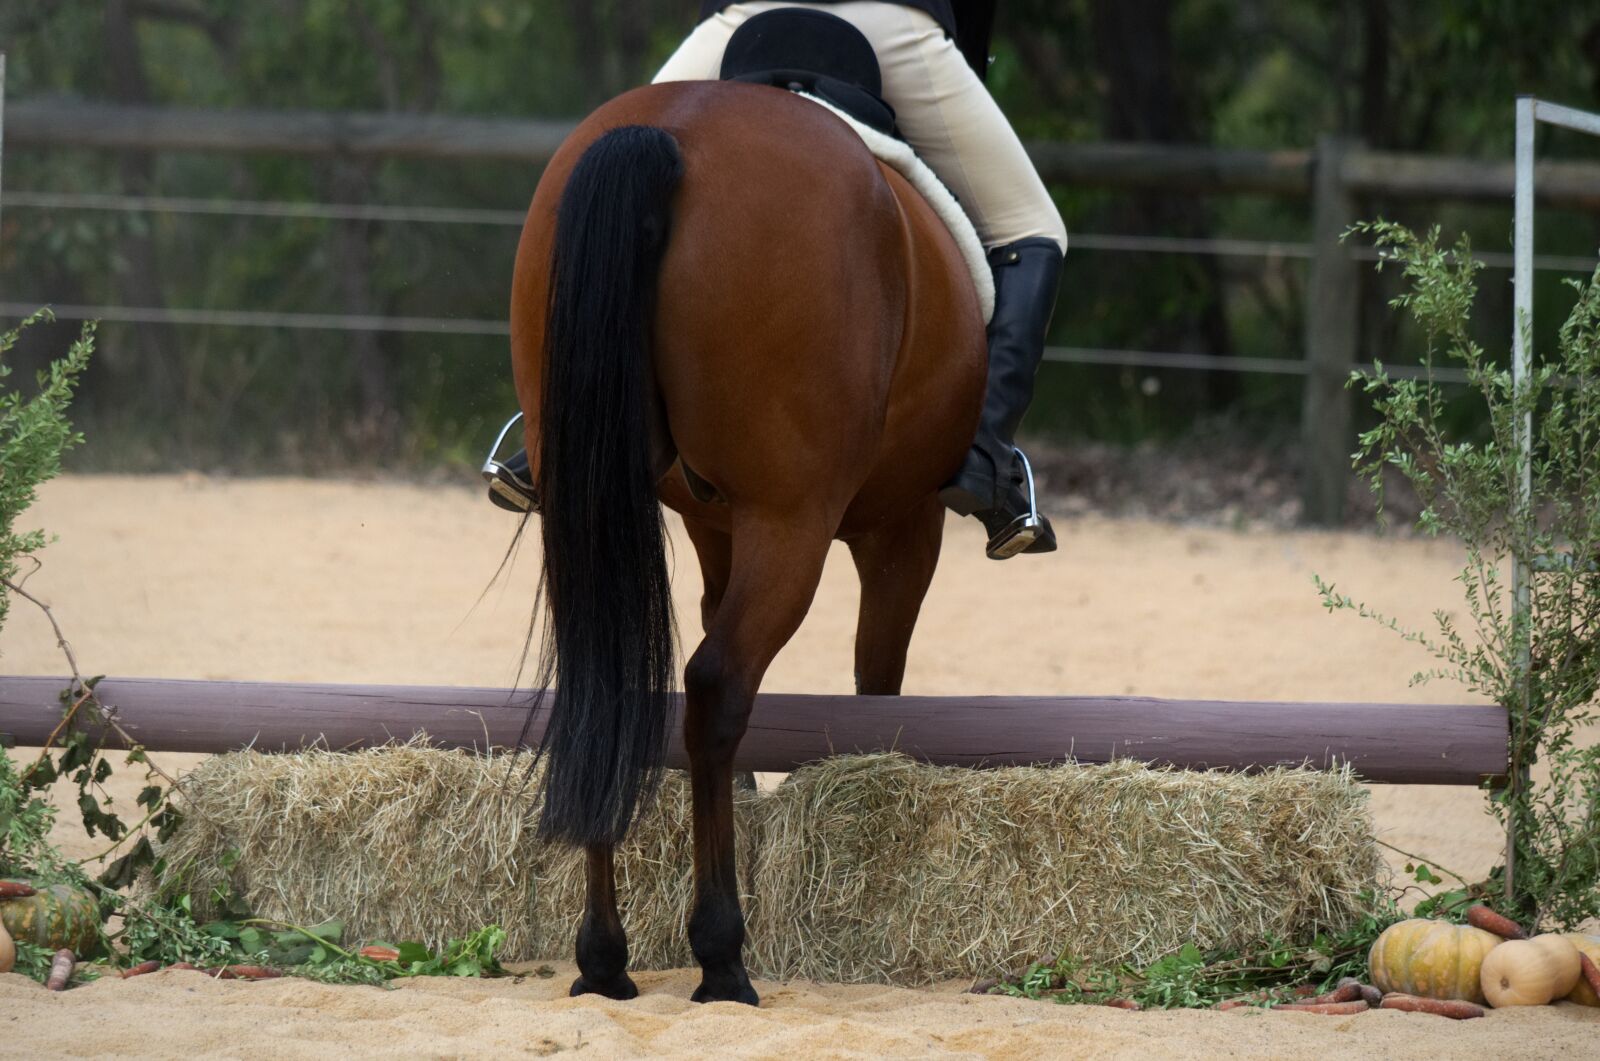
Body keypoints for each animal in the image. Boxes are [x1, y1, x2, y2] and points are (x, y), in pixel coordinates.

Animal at [509, 78, 985, 1006]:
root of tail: (671, 132)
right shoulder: (903, 525)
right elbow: (878, 681)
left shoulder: (712, 522)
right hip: (793, 519)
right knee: (718, 687)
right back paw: (721, 953)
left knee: (606, 689)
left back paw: (603, 957)